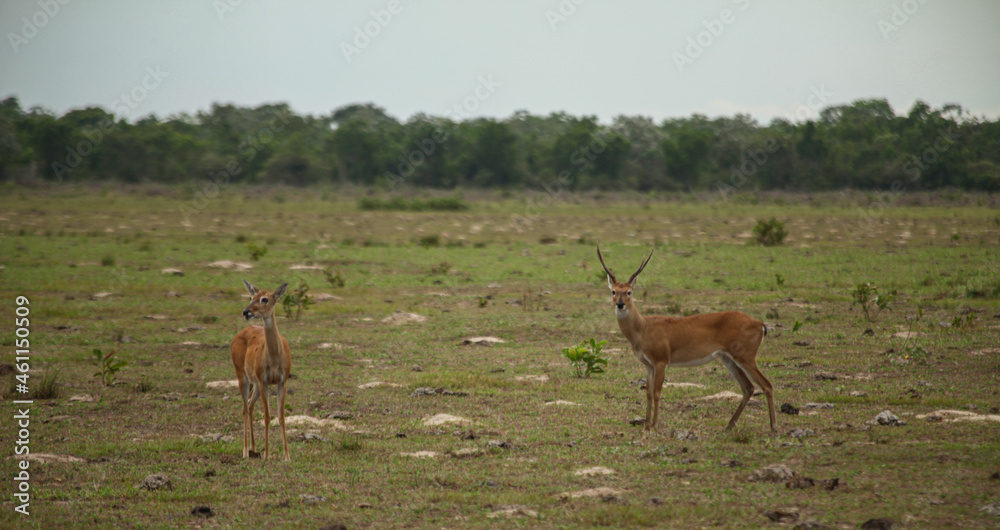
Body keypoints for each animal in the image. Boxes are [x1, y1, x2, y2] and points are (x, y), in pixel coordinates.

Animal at [228, 280, 290, 458]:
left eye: (265, 299)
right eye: (251, 297)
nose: (246, 312)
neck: (275, 357)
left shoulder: (282, 382)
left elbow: (281, 416)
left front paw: (287, 456)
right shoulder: (264, 381)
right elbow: (268, 417)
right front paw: (267, 455)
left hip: (254, 384)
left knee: (249, 405)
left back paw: (254, 448)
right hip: (242, 377)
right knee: (244, 408)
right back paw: (245, 451)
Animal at [596, 245, 776, 432]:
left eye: (629, 292)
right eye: (614, 291)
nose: (620, 304)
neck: (643, 327)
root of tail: (759, 323)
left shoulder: (661, 362)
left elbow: (657, 392)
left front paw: (654, 426)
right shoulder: (649, 365)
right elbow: (648, 393)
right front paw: (646, 426)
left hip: (746, 358)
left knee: (767, 385)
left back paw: (773, 428)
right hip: (728, 359)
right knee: (748, 387)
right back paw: (728, 426)